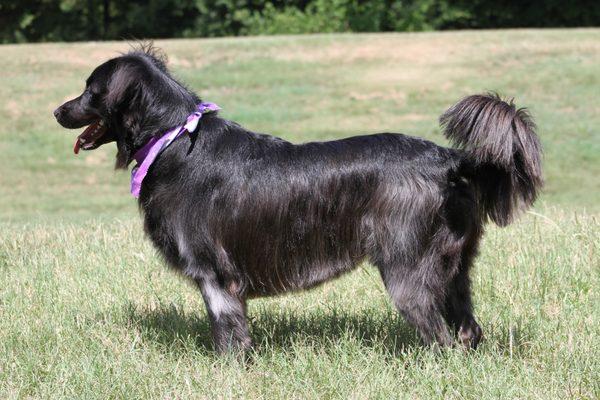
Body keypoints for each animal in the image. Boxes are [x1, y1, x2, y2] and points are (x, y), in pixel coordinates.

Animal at [55, 47, 544, 354]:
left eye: (90, 89)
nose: (58, 110)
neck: (174, 139)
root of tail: (451, 159)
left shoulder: (215, 273)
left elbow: (228, 334)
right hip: (456, 267)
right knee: (468, 329)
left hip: (409, 267)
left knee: (441, 337)